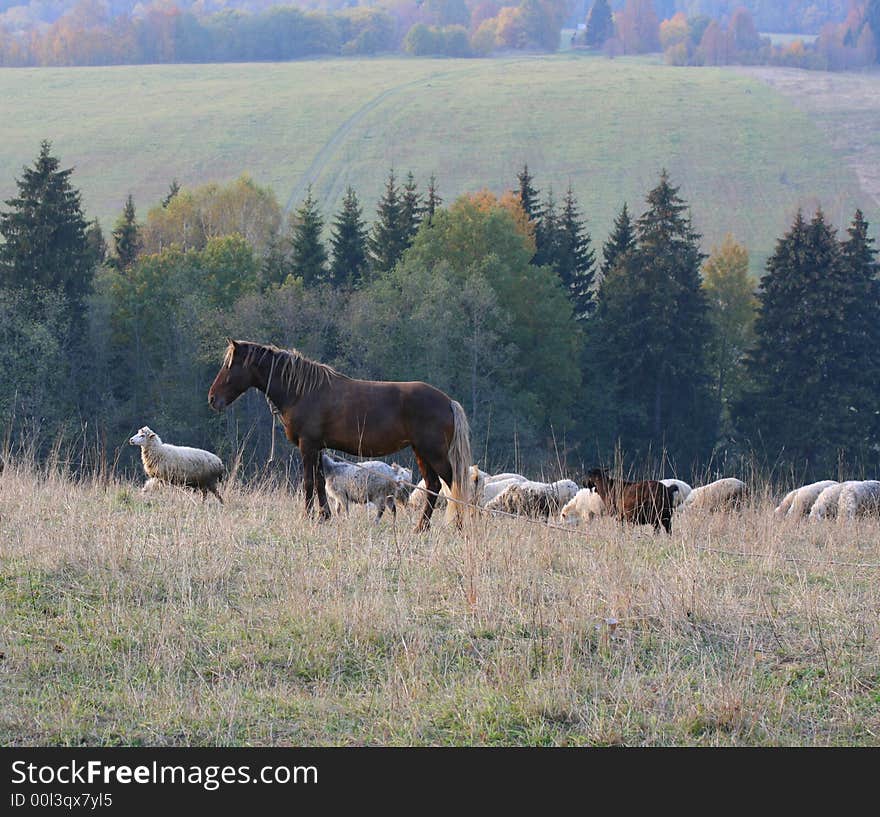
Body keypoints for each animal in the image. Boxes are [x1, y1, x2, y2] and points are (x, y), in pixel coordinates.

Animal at [206, 338, 470, 528]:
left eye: (229, 366)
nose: (212, 399)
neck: (302, 391)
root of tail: (447, 401)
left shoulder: (308, 445)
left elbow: (309, 482)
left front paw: (308, 517)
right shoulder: (318, 447)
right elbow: (320, 481)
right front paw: (324, 516)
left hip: (433, 452)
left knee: (453, 484)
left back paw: (458, 525)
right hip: (421, 452)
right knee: (434, 485)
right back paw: (421, 528)